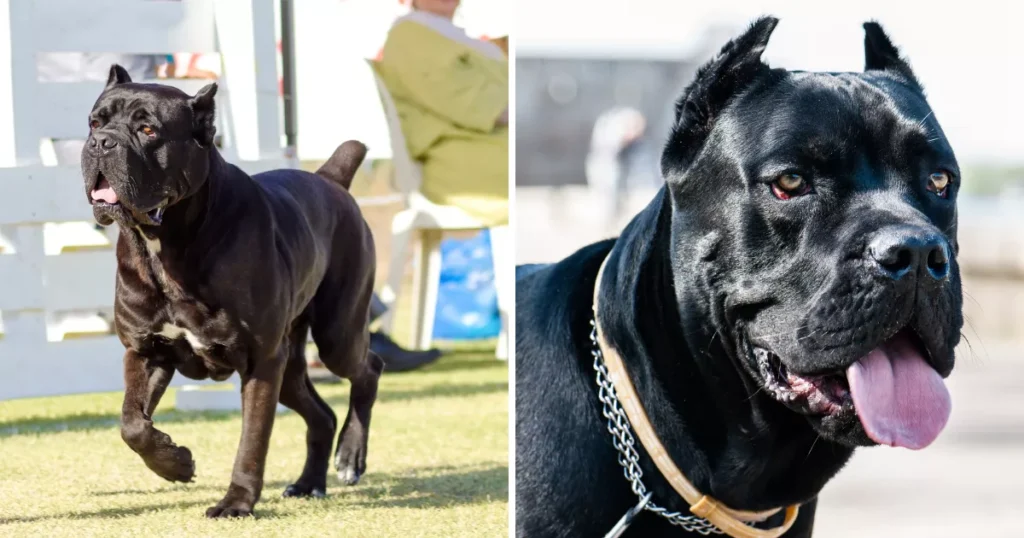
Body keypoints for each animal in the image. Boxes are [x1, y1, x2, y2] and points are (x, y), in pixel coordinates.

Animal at [83, 65, 385, 518]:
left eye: (148, 129)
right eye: (94, 123)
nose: (102, 143)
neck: (167, 244)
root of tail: (329, 179)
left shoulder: (261, 361)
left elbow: (252, 442)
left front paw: (236, 503)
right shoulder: (146, 351)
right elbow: (132, 423)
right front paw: (176, 463)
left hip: (337, 334)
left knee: (369, 369)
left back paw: (350, 458)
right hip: (291, 366)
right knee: (321, 415)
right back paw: (308, 483)